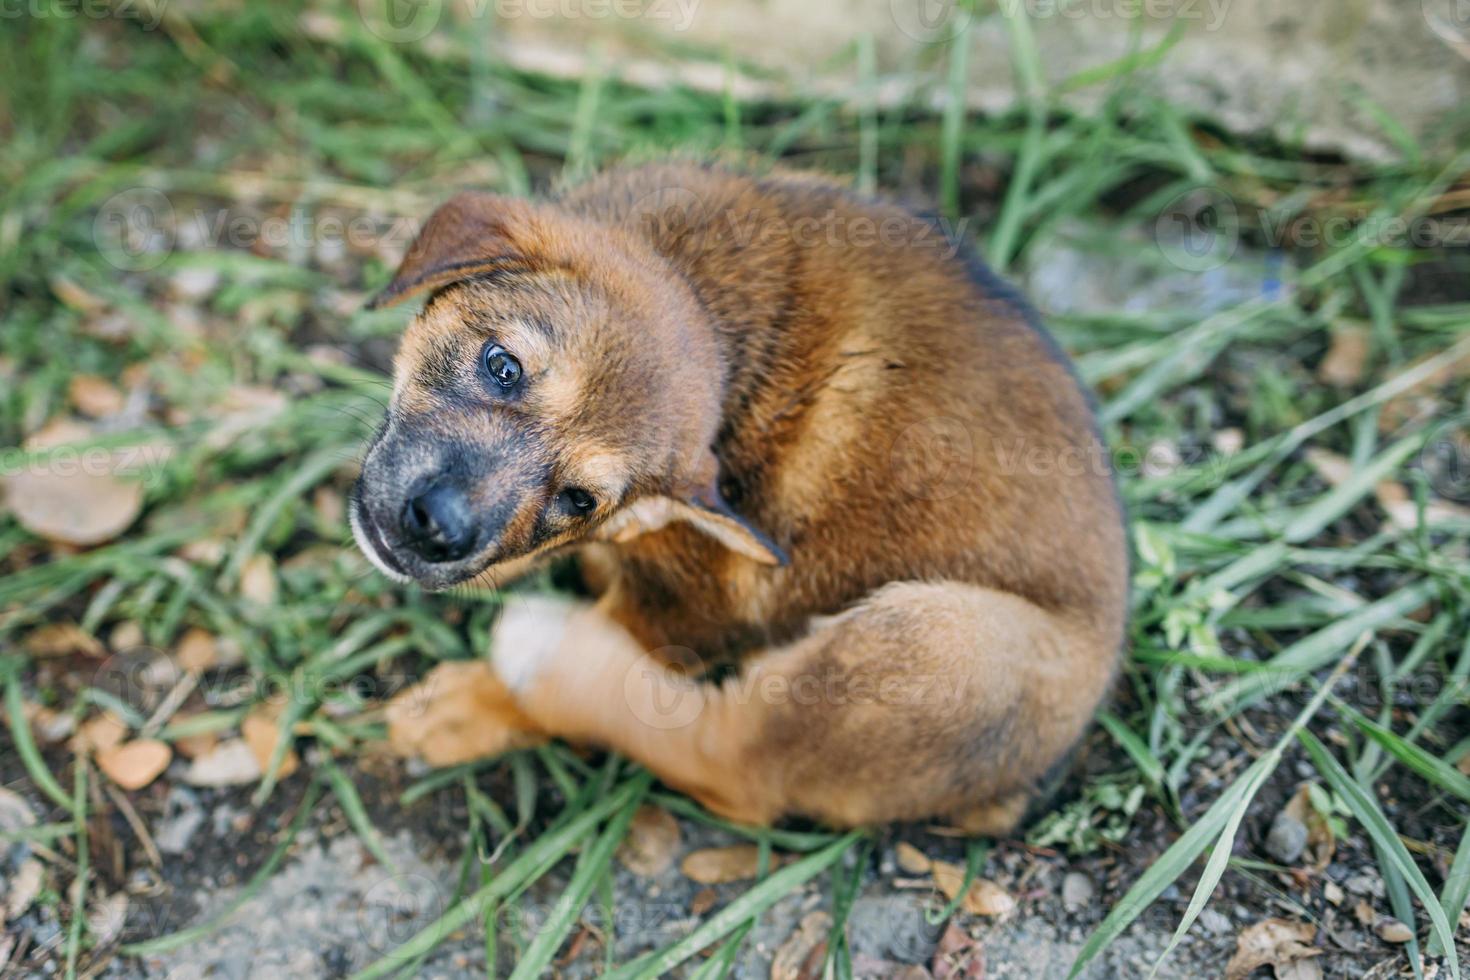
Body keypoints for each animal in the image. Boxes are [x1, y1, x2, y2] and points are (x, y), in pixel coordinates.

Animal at [352, 163, 1123, 834]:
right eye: (502, 366)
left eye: (578, 498)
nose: (438, 530)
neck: (705, 291)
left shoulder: (687, 606)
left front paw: (472, 706)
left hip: (938, 638)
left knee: (726, 762)